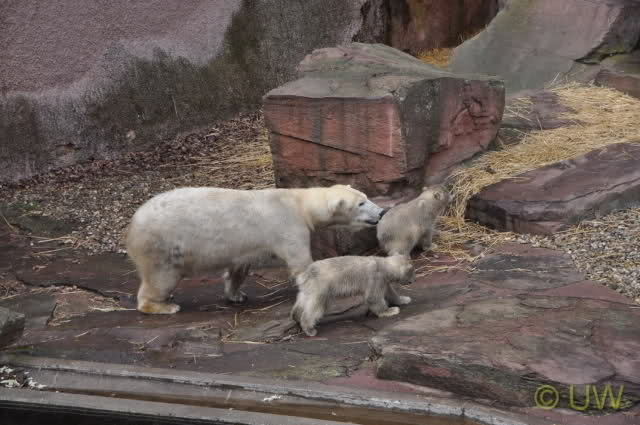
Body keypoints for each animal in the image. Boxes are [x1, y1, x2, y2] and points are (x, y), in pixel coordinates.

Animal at [125, 184, 385, 314]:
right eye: (361, 203)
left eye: (366, 196)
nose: (382, 212)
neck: (299, 202)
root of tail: (132, 225)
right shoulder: (288, 226)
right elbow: (301, 264)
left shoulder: (245, 245)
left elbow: (238, 268)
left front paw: (236, 294)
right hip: (161, 247)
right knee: (160, 279)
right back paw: (164, 306)